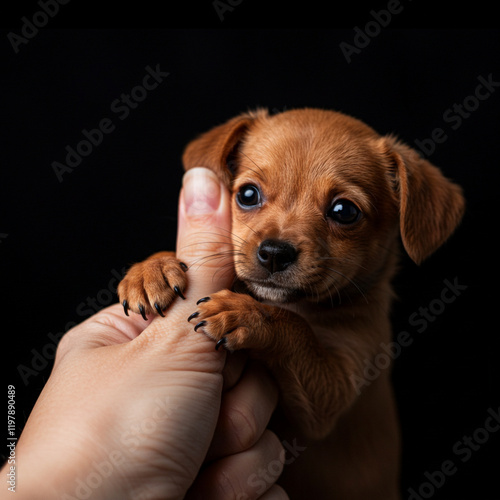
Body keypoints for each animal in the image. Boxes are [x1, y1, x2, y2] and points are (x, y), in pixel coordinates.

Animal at [117, 107, 464, 498]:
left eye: (344, 211)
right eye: (247, 194)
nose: (273, 252)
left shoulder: (333, 391)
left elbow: (296, 329)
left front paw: (248, 315)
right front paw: (152, 269)